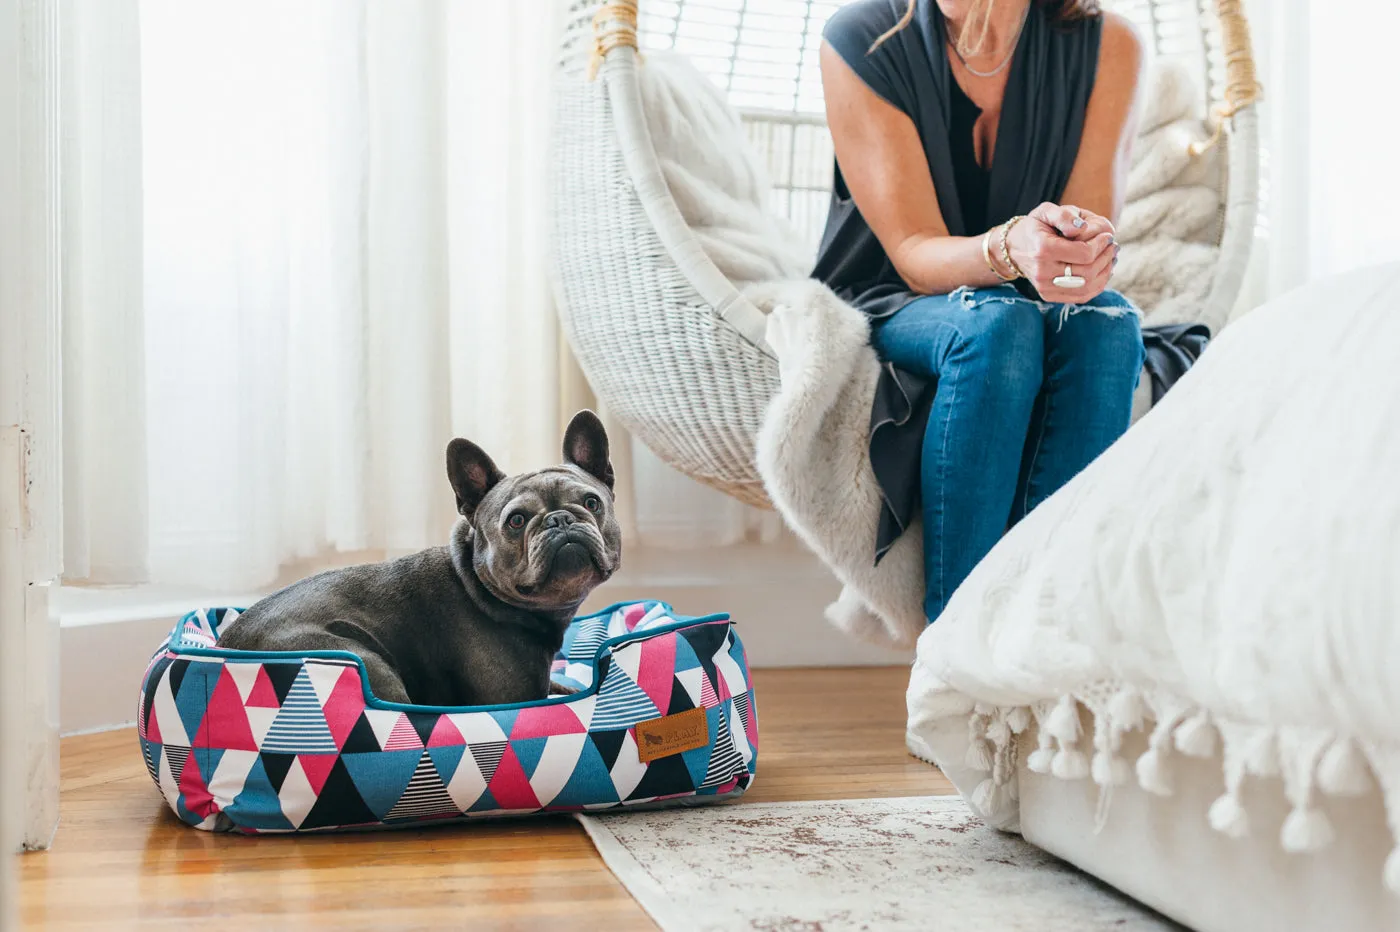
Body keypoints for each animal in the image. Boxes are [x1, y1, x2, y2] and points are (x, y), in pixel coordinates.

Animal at [215, 408, 621, 705]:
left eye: (592, 503)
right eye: (517, 521)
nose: (560, 519)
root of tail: (226, 647)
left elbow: (562, 685)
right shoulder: (514, 698)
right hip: (363, 660)